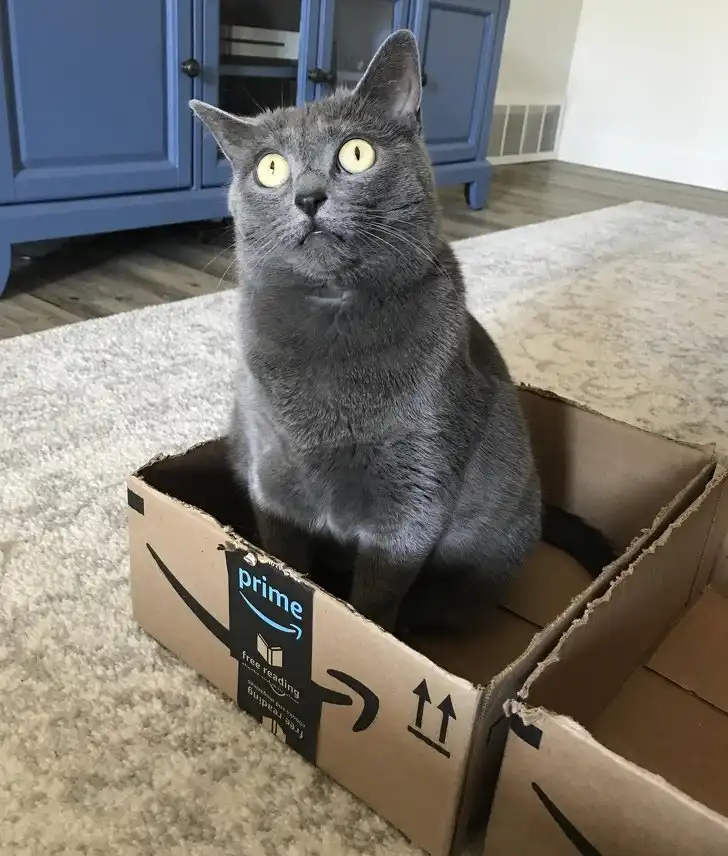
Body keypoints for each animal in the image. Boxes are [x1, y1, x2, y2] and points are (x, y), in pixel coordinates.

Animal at [190, 29, 616, 636]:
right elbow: (282, 559)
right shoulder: (271, 471)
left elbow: (376, 595)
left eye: (356, 153)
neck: (333, 317)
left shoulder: (416, 490)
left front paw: (361, 630)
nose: (308, 196)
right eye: (270, 168)